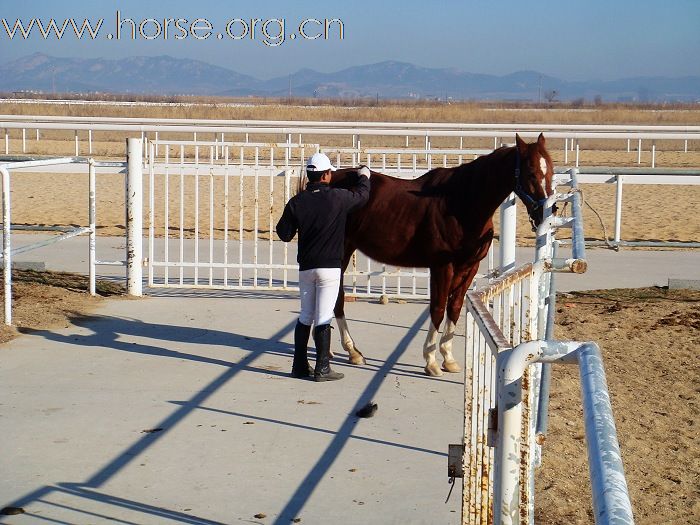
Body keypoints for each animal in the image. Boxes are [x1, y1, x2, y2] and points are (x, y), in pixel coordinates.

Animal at [328, 133, 552, 374]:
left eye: (550, 169)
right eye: (531, 172)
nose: (547, 211)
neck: (461, 202)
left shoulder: (469, 267)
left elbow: (454, 307)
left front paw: (448, 358)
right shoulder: (442, 267)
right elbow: (438, 308)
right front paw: (431, 361)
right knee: (336, 296)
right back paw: (352, 351)